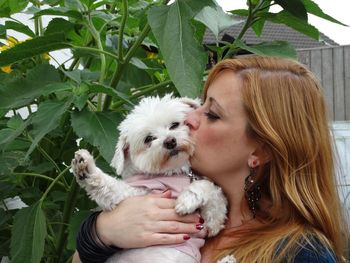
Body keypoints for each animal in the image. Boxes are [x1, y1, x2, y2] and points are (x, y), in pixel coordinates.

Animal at [72, 95, 230, 263]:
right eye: (149, 139)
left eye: (174, 125)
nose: (170, 141)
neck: (172, 173)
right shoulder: (132, 195)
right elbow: (109, 187)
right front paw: (86, 169)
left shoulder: (206, 225)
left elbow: (212, 195)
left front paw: (187, 199)